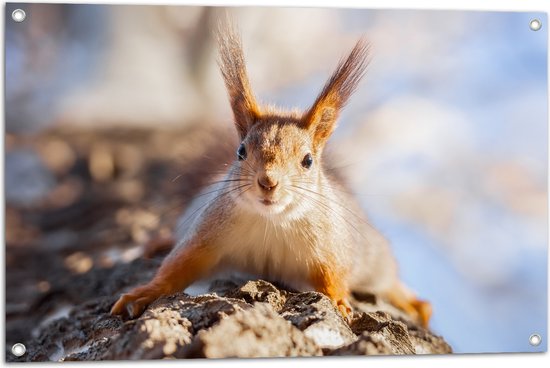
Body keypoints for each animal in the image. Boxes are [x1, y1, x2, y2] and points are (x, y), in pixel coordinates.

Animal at [111, 22, 432, 328]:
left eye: (307, 160)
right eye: (240, 151)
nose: (268, 181)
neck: (272, 222)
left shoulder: (331, 245)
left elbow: (334, 275)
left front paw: (340, 301)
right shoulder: (206, 233)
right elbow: (177, 265)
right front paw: (145, 292)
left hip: (372, 252)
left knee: (387, 276)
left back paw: (410, 300)